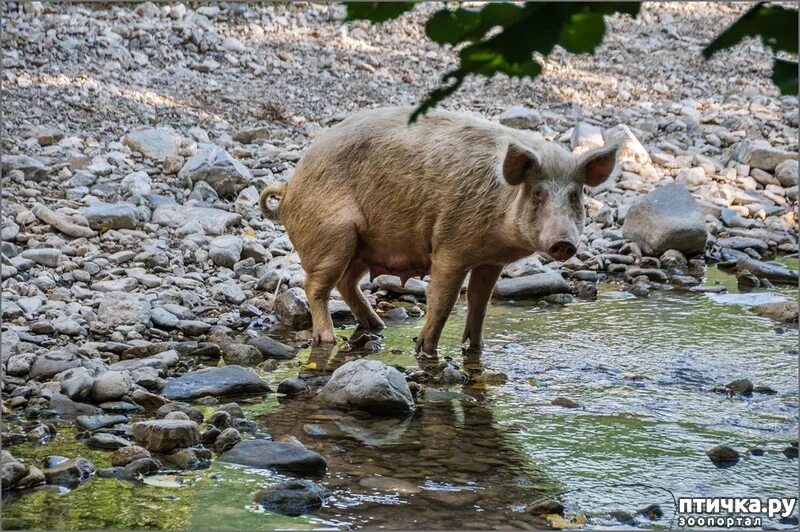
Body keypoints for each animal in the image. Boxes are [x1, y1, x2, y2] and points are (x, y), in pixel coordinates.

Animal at [262, 106, 620, 356]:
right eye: (538, 193)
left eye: (576, 195)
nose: (564, 243)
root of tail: (290, 187)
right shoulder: (451, 245)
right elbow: (444, 300)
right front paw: (424, 350)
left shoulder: (491, 260)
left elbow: (480, 302)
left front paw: (475, 349)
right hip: (334, 234)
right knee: (315, 286)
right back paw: (328, 338)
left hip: (362, 247)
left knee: (347, 284)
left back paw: (377, 326)